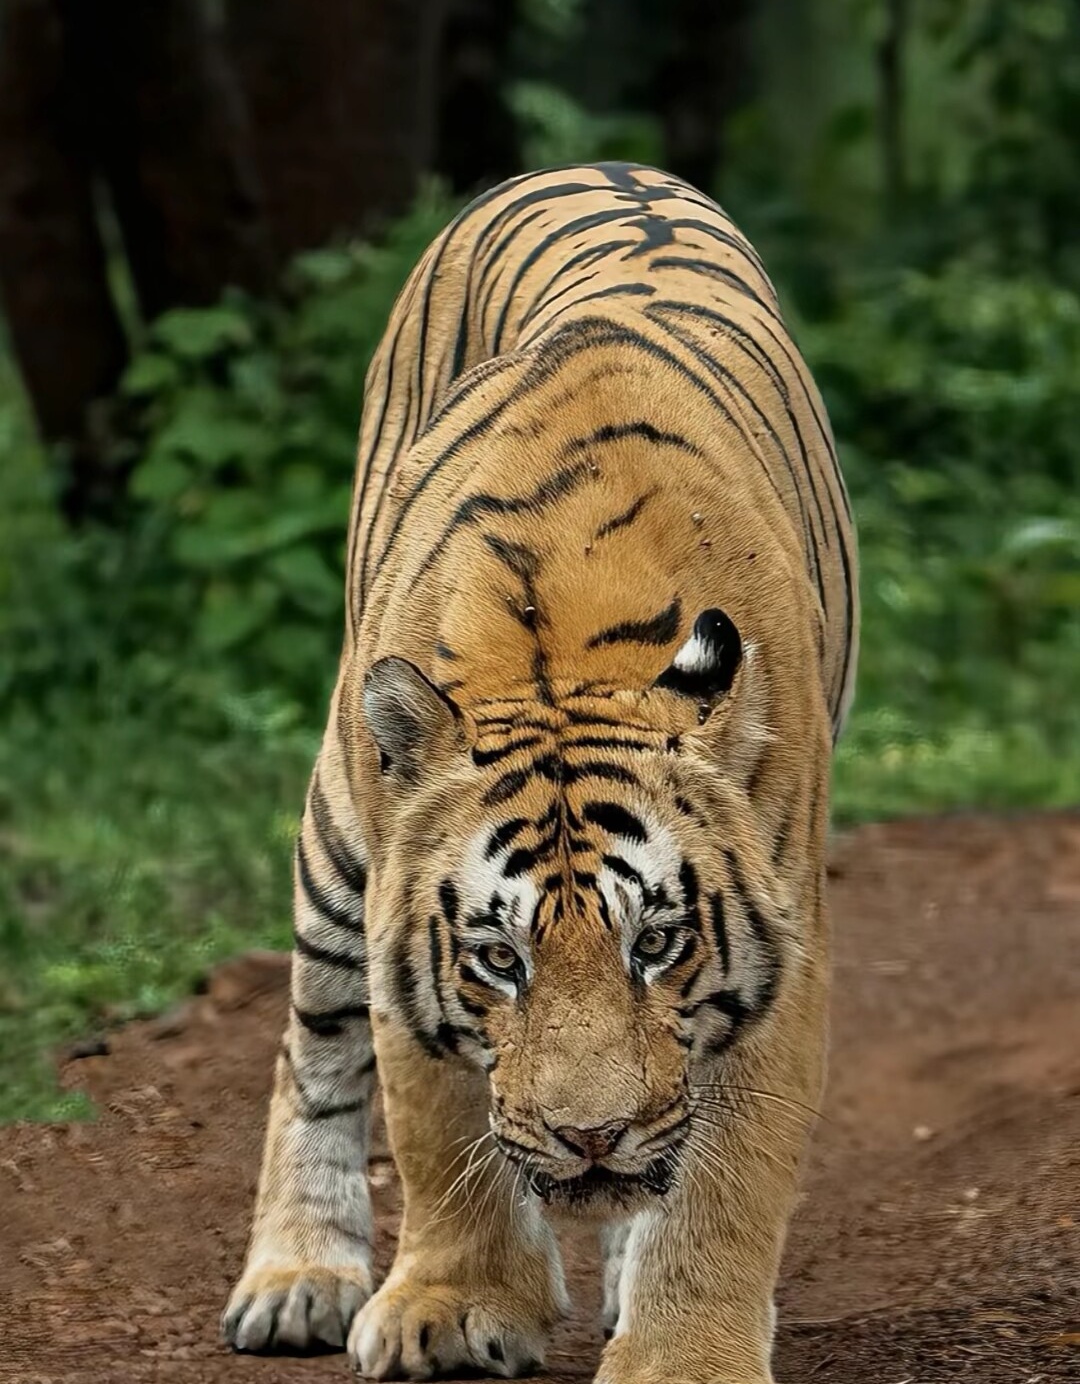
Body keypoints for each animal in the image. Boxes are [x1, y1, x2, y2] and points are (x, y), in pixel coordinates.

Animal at [221, 157, 858, 1378]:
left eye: (655, 943)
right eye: (497, 958)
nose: (590, 1137)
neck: (566, 649)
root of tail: (593, 162)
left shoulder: (784, 937)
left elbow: (725, 1178)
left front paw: (681, 1353)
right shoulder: (398, 903)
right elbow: (431, 1124)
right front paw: (452, 1306)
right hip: (334, 834)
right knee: (308, 1054)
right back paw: (296, 1279)